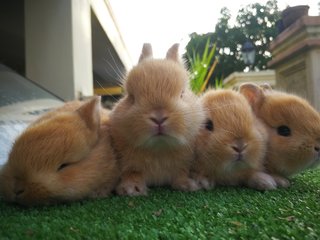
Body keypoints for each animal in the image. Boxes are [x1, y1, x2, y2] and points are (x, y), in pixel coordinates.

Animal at [109, 43, 205, 196]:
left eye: (182, 94)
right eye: (131, 97)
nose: (159, 117)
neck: (159, 149)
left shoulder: (183, 166)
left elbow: (181, 174)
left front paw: (189, 185)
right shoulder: (129, 166)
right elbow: (132, 174)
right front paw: (132, 189)